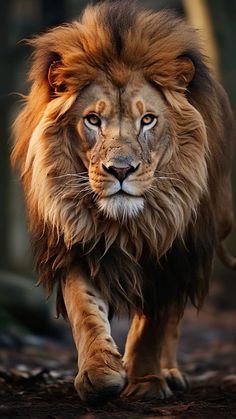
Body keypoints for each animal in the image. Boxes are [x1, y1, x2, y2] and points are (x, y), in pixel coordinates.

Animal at [12, 0, 235, 404]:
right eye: (92, 120)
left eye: (147, 119)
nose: (120, 170)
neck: (127, 224)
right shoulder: (74, 242)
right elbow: (85, 310)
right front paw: (101, 374)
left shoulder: (172, 249)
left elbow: (155, 324)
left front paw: (145, 382)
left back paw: (169, 373)